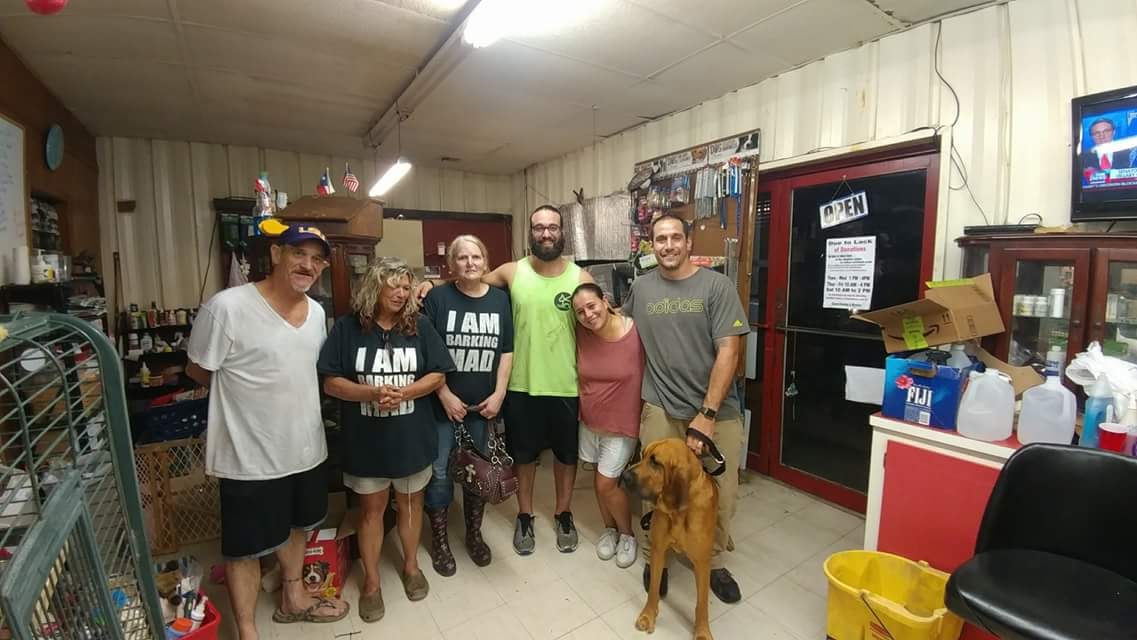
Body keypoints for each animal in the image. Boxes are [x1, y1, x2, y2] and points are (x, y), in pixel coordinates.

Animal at [623, 438, 718, 640]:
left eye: (655, 462)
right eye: (642, 454)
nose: (624, 476)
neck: (679, 512)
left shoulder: (702, 563)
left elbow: (702, 602)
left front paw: (702, 631)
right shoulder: (658, 550)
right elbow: (653, 589)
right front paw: (648, 615)